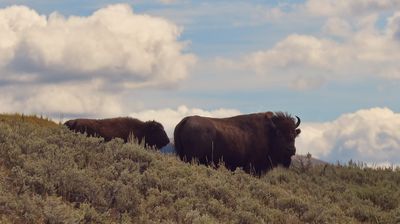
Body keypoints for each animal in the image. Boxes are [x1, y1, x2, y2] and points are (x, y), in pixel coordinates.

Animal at [173, 113, 302, 174]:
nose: (291, 150)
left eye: (294, 134)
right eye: (279, 133)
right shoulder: (252, 167)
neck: (269, 133)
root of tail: (184, 121)